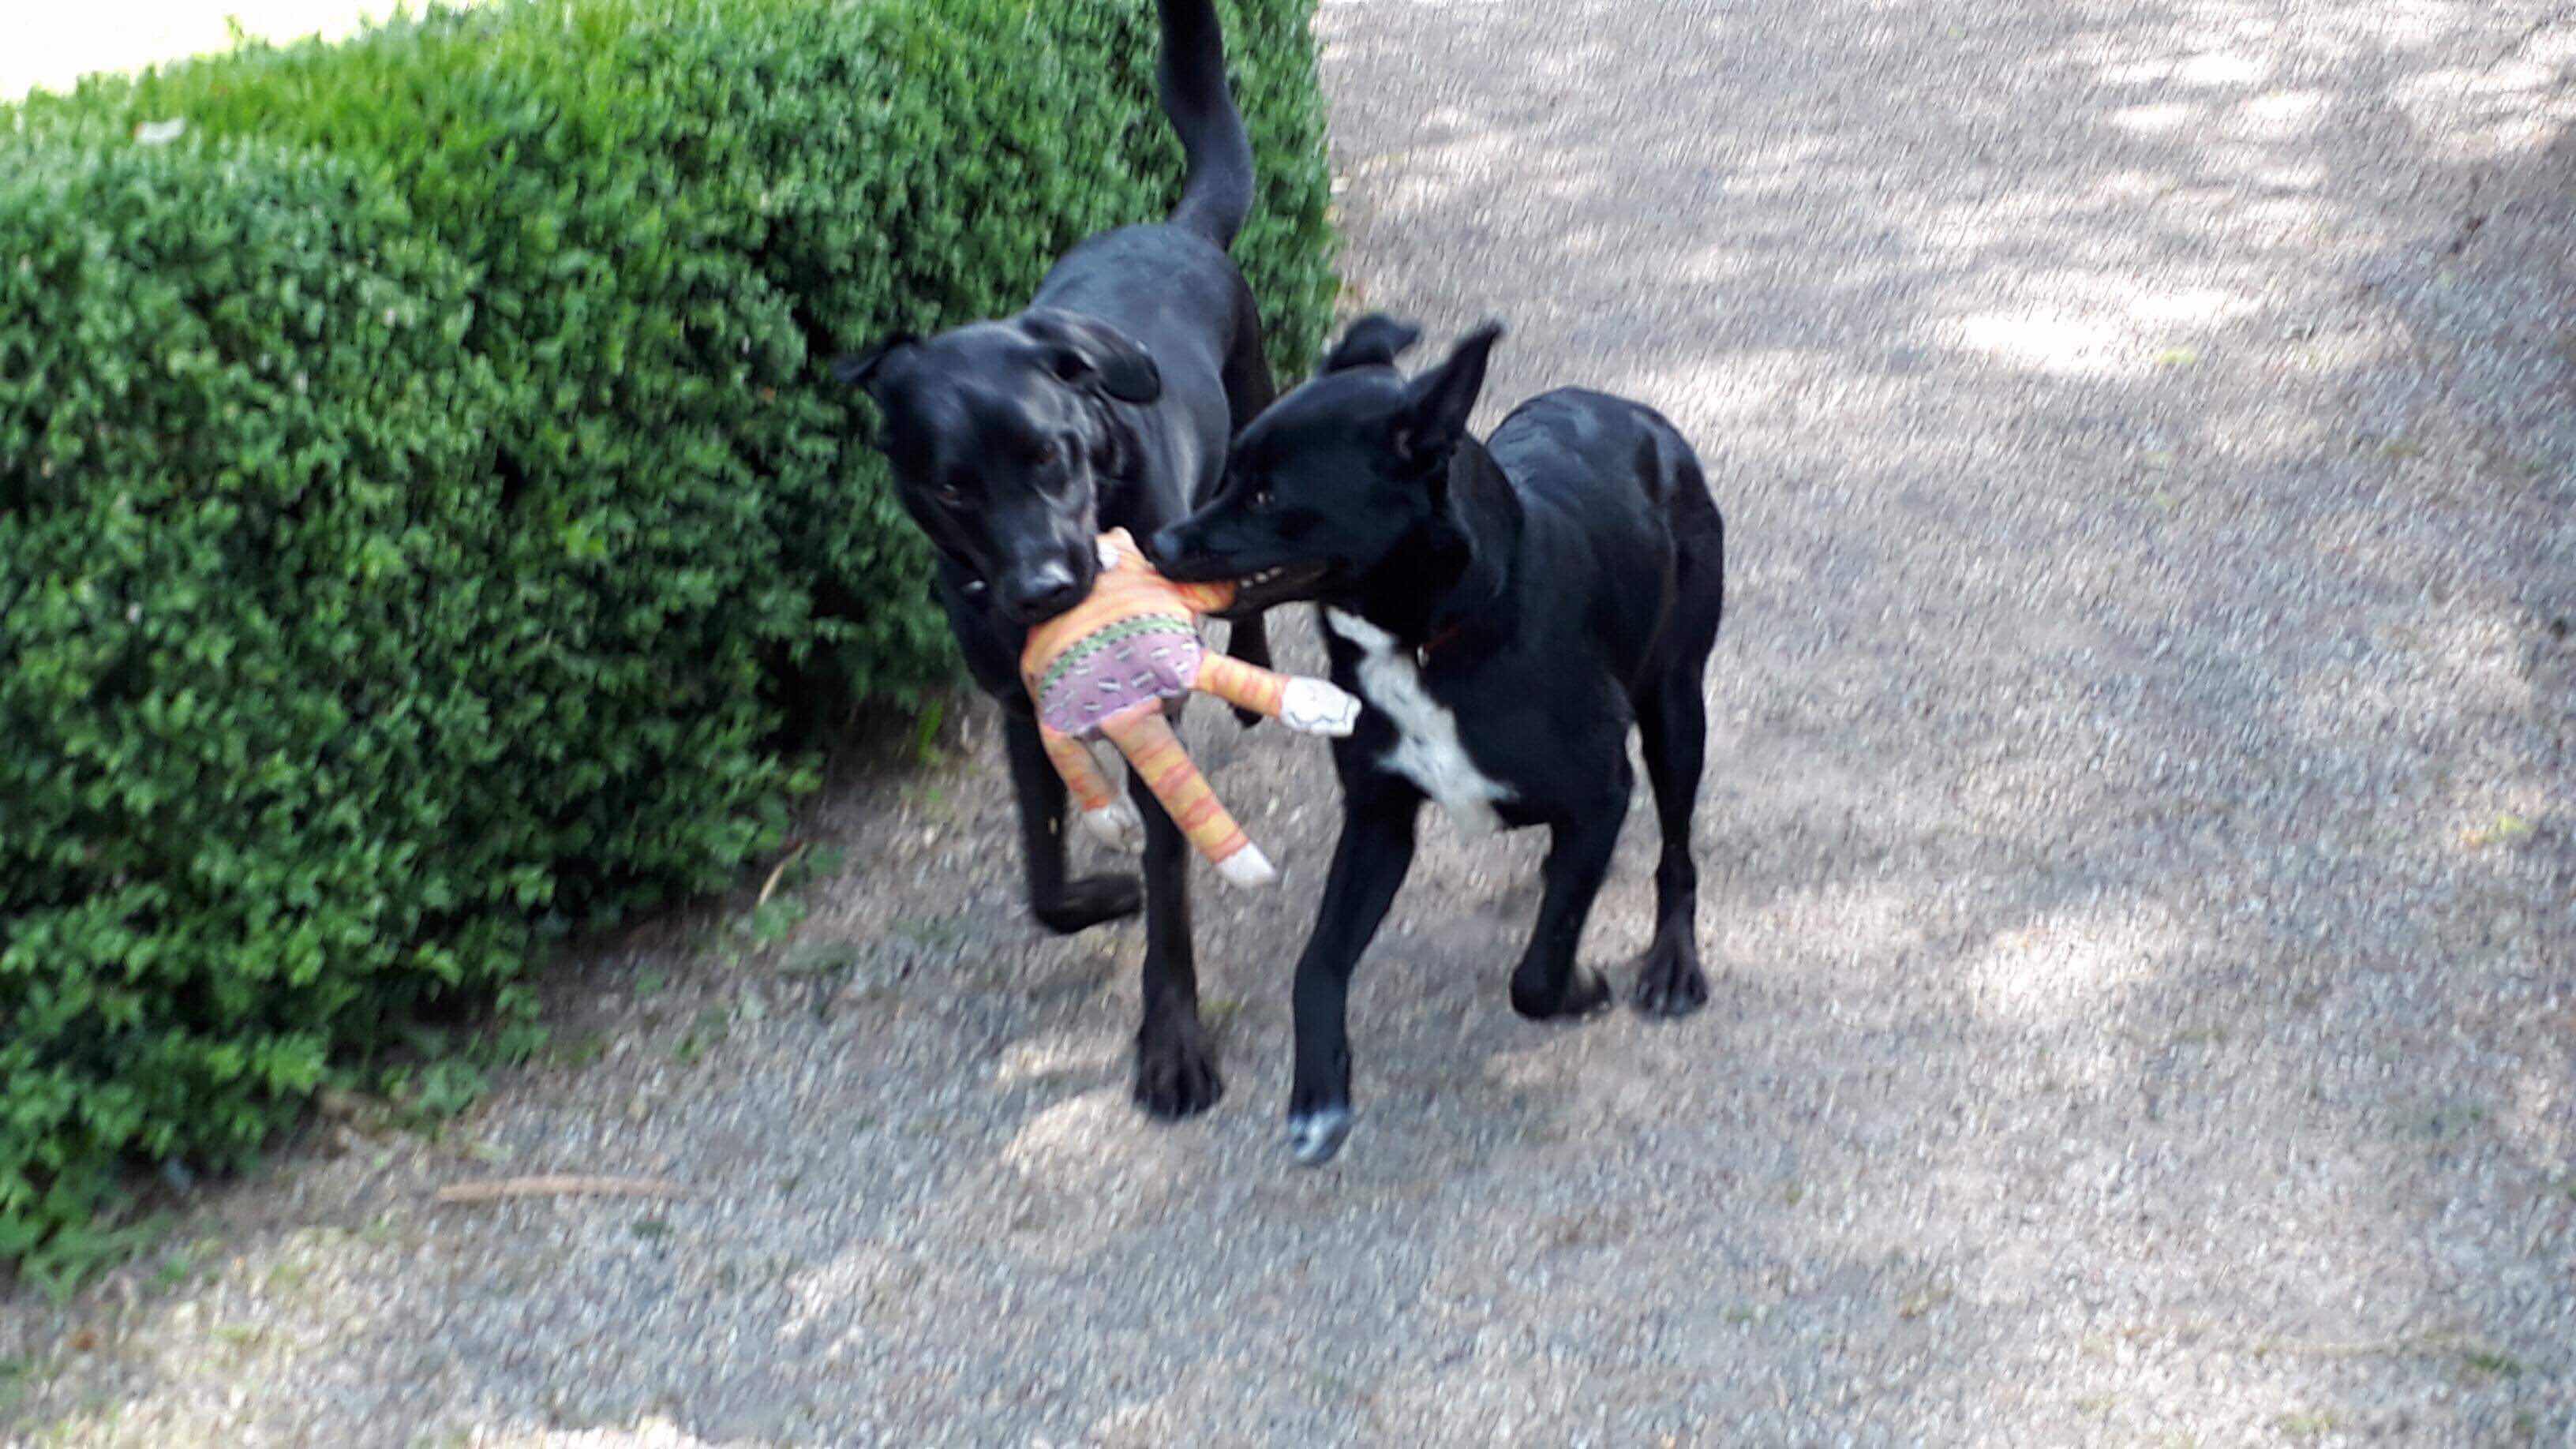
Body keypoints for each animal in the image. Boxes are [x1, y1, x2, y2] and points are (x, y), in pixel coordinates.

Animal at [832, 0, 1277, 1118]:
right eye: (952, 487)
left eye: (1050, 454)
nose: (1046, 589)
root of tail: (1176, 227)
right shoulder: (1016, 712)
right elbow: (1043, 879)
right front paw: (1099, 892)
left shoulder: (1154, 715)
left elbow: (1171, 893)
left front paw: (1171, 1045)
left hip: (1251, 415)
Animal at [1151, 316, 1727, 1163]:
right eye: (1228, 474)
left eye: (1266, 494)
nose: (1157, 543)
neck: (1429, 638)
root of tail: (1634, 412)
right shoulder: (1378, 818)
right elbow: (1316, 964)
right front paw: (1318, 1095)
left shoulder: (1601, 791)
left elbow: (1536, 976)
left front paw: (1581, 986)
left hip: (1677, 706)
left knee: (1677, 852)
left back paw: (1673, 962)